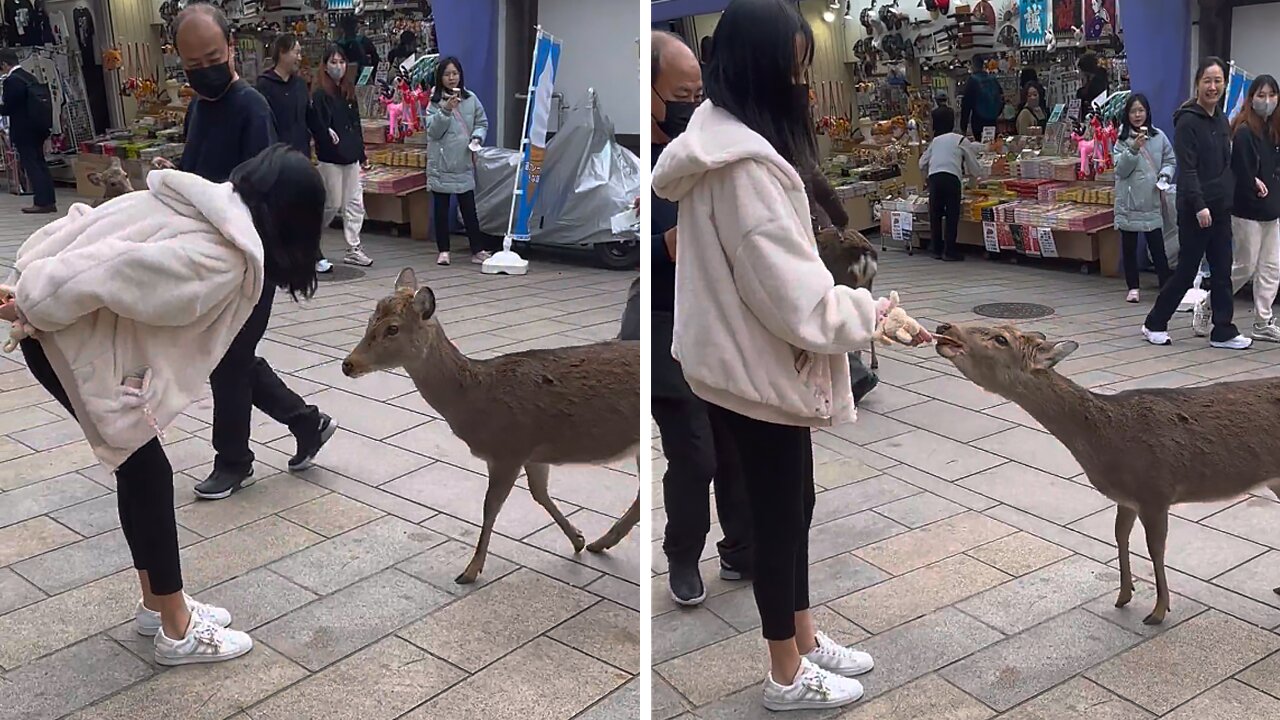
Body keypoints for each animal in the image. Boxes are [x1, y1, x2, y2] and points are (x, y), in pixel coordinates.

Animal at [340, 269, 640, 584]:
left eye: (393, 329)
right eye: (370, 320)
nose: (348, 364)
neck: (478, 402)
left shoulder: (508, 450)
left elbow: (490, 506)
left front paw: (470, 570)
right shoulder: (531, 452)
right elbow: (539, 493)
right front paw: (577, 539)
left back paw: (604, 541)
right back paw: (599, 542)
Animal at [931, 319, 1280, 622]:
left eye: (1001, 339)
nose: (945, 327)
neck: (1107, 445)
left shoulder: (1156, 490)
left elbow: (1156, 548)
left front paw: (1158, 611)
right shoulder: (1126, 498)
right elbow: (1119, 535)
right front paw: (1124, 595)